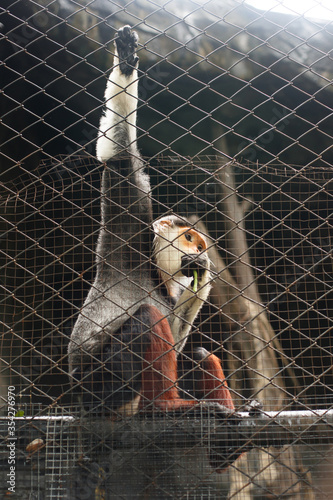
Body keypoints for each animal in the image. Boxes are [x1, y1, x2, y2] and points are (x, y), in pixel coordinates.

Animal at [67, 26, 244, 468]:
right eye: (190, 238)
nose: (199, 254)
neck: (152, 271)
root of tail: (82, 406)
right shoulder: (128, 232)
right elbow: (118, 156)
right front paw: (127, 61)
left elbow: (184, 343)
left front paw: (204, 278)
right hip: (104, 389)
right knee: (148, 318)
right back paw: (163, 409)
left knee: (197, 353)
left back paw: (223, 447)